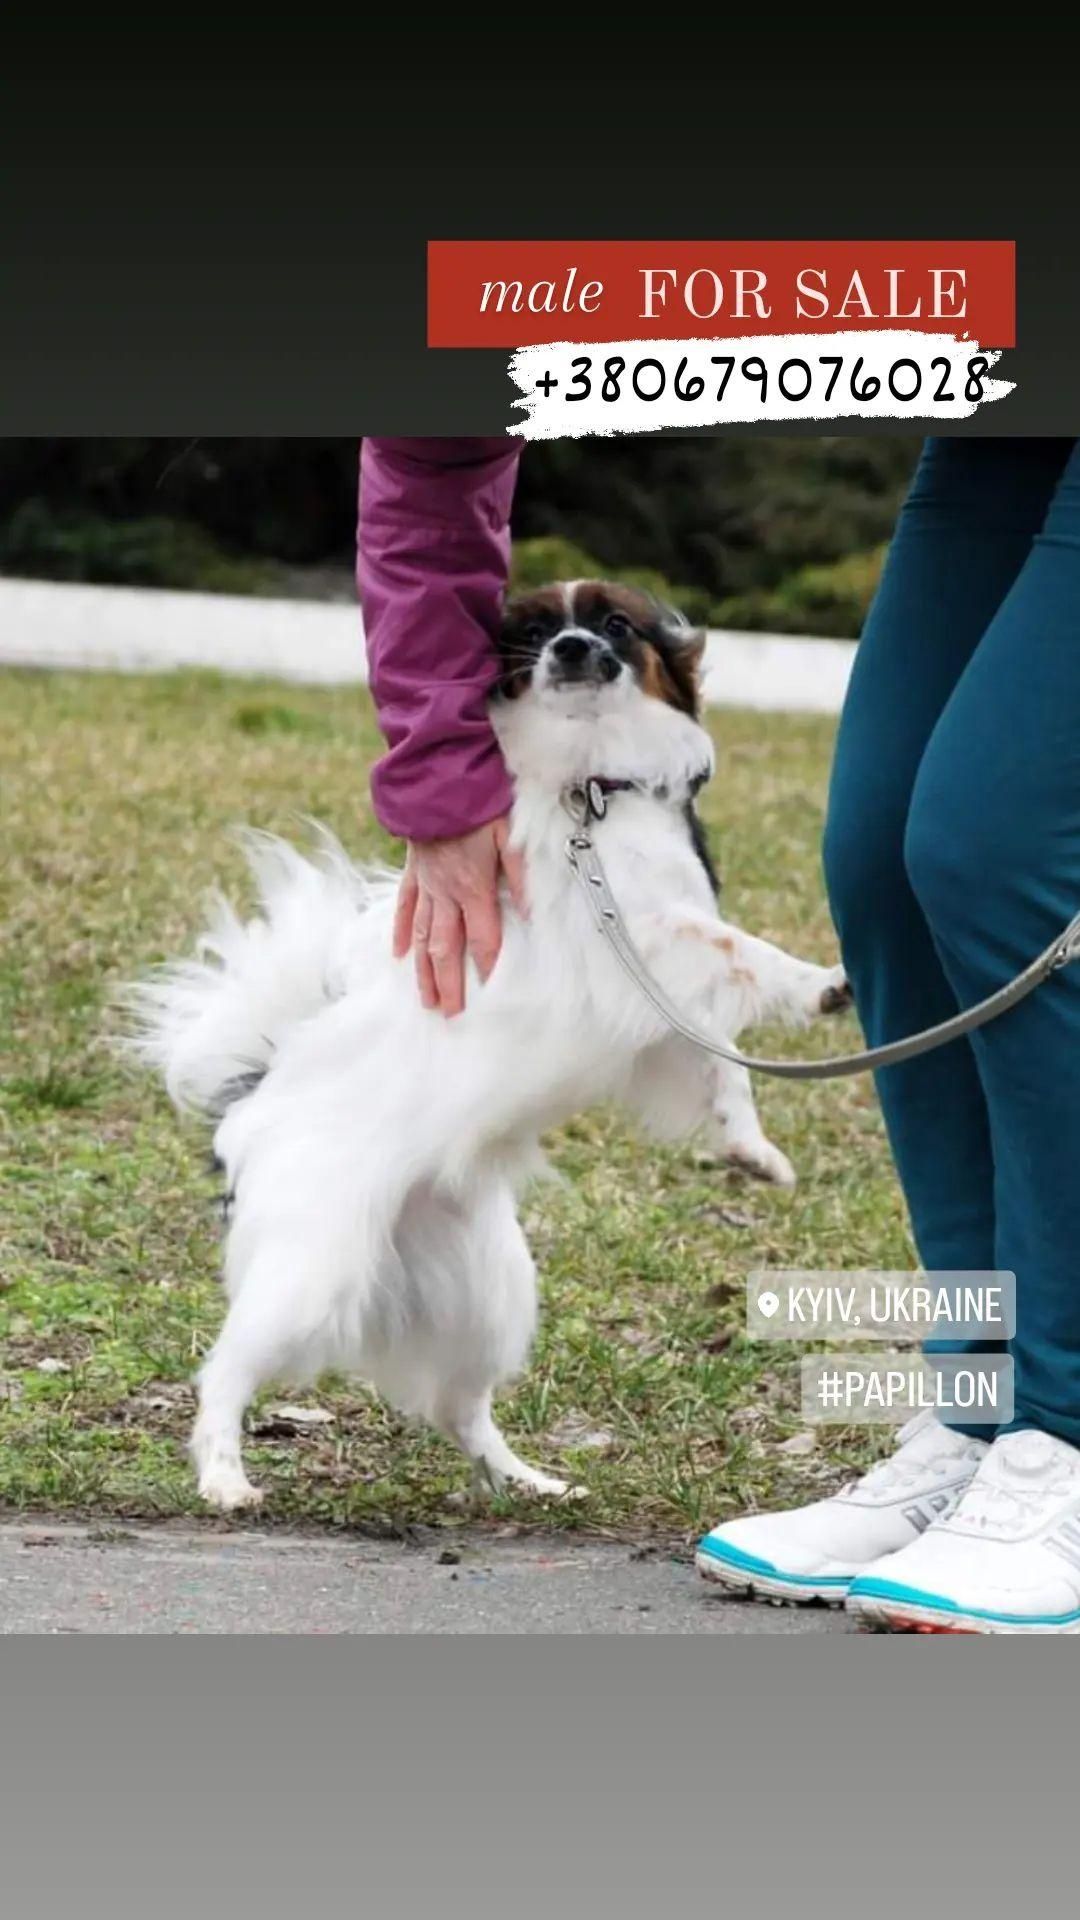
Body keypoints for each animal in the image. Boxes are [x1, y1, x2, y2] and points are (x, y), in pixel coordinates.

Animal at [127, 576, 849, 1505]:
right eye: (533, 634)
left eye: (615, 623)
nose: (573, 648)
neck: (592, 786)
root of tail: (259, 1093)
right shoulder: (647, 938)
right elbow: (746, 955)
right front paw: (823, 983)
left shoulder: (659, 998)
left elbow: (724, 1069)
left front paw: (752, 1153)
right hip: (311, 1273)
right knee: (224, 1373)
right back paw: (224, 1479)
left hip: (493, 1296)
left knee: (460, 1408)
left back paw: (532, 1483)